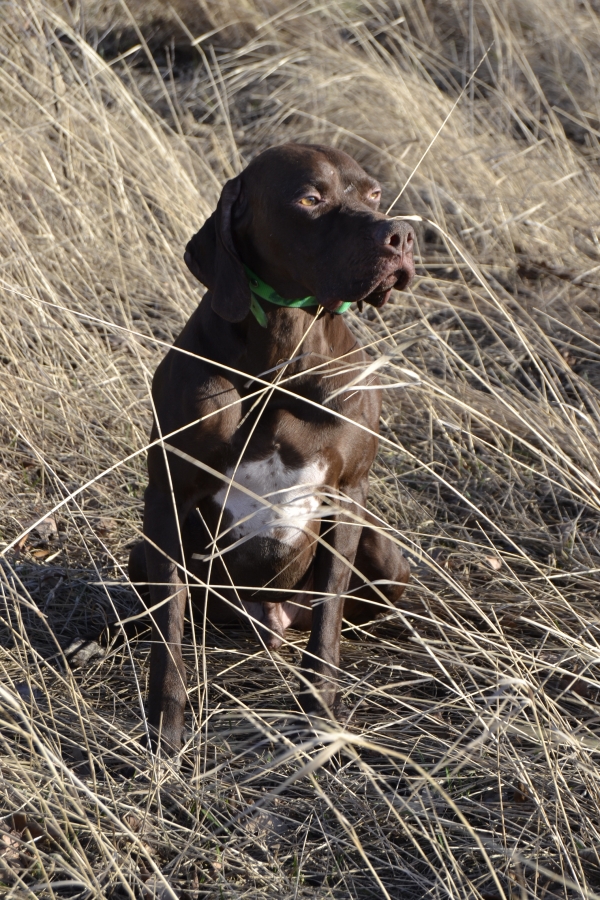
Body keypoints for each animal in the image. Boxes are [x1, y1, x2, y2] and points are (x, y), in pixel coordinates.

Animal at [128, 143, 415, 751]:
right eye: (310, 198)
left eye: (374, 193)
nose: (400, 234)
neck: (281, 361)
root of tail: (271, 620)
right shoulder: (168, 496)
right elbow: (169, 632)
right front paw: (166, 725)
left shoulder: (346, 497)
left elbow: (328, 623)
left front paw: (320, 718)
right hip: (144, 551)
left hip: (383, 555)